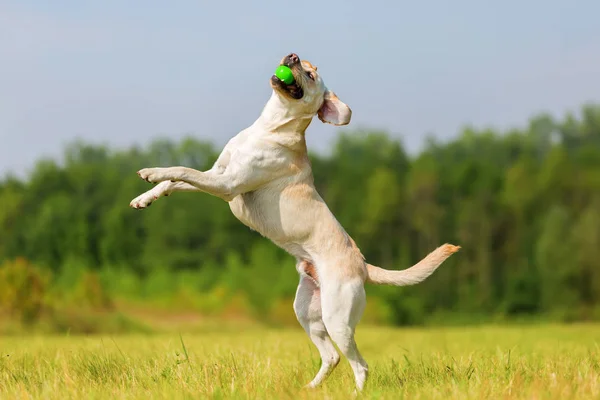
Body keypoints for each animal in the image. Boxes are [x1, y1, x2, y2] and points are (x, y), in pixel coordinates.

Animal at [130, 53, 460, 390]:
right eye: (305, 63)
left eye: (311, 75)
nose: (292, 56)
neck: (269, 128)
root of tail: (364, 266)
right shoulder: (218, 173)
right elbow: (175, 182)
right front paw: (145, 197)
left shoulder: (227, 184)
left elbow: (182, 170)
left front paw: (152, 171)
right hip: (307, 311)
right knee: (332, 356)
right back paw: (310, 389)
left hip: (338, 319)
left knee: (360, 365)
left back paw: (356, 393)